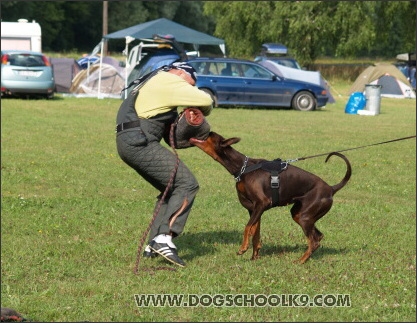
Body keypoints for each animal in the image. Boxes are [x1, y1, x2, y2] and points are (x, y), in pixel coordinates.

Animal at [191, 131, 352, 264]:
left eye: (209, 134)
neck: (242, 167)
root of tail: (331, 188)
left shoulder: (262, 204)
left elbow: (247, 227)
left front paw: (243, 248)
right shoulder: (254, 209)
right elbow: (255, 233)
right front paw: (254, 257)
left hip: (305, 216)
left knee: (314, 241)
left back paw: (300, 261)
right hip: (300, 214)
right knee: (318, 236)